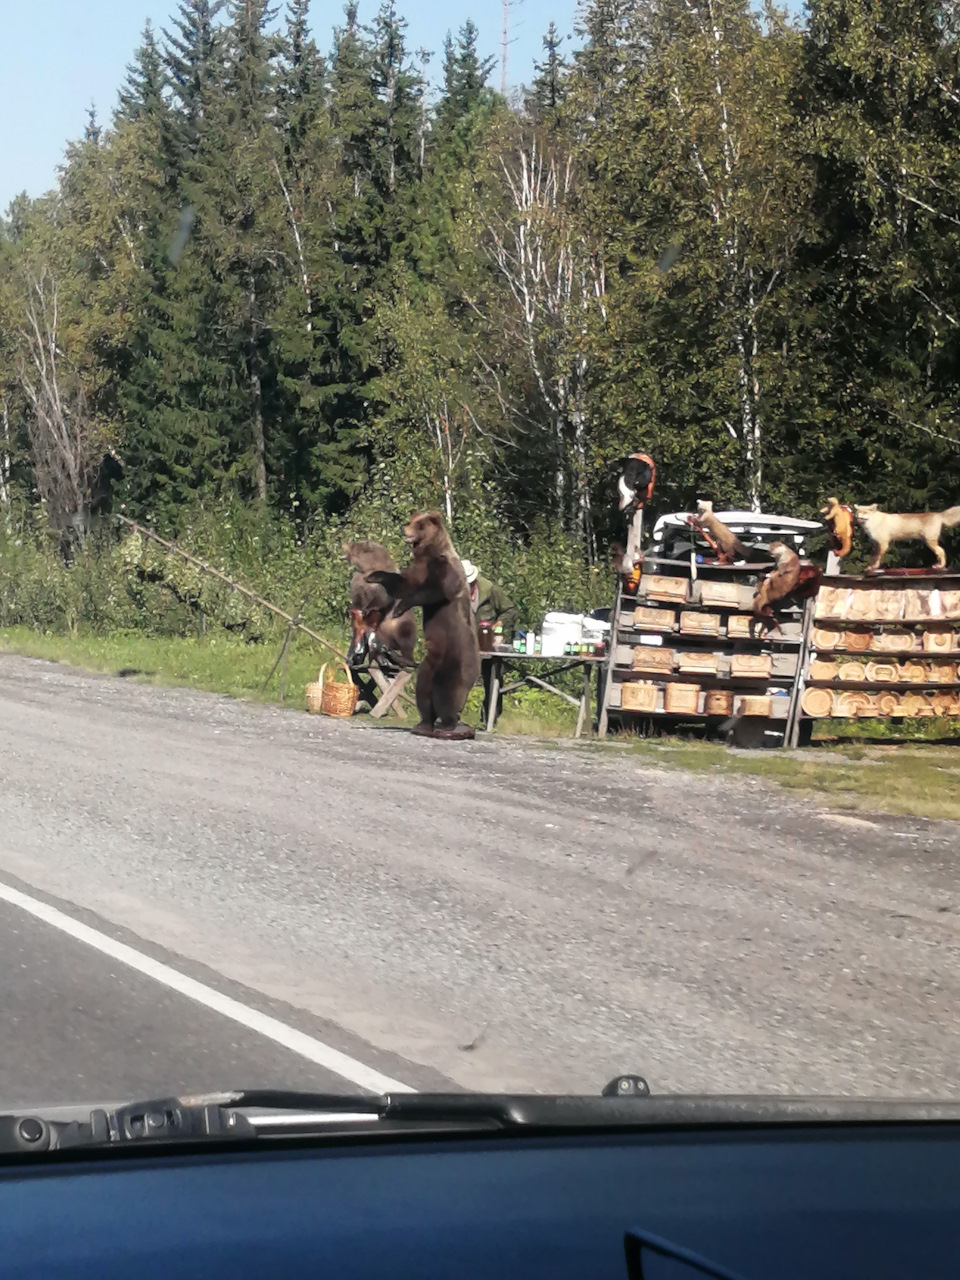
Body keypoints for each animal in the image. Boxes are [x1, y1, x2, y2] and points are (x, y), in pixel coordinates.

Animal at [371, 509, 483, 742]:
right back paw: (424, 723)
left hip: (454, 662)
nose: (404, 527)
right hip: (429, 664)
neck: (428, 554)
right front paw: (373, 575)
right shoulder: (417, 570)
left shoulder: (444, 570)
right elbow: (401, 583)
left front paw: (399, 608)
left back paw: (448, 726)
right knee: (423, 688)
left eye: (419, 524)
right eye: (411, 519)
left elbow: (434, 591)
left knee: (445, 694)